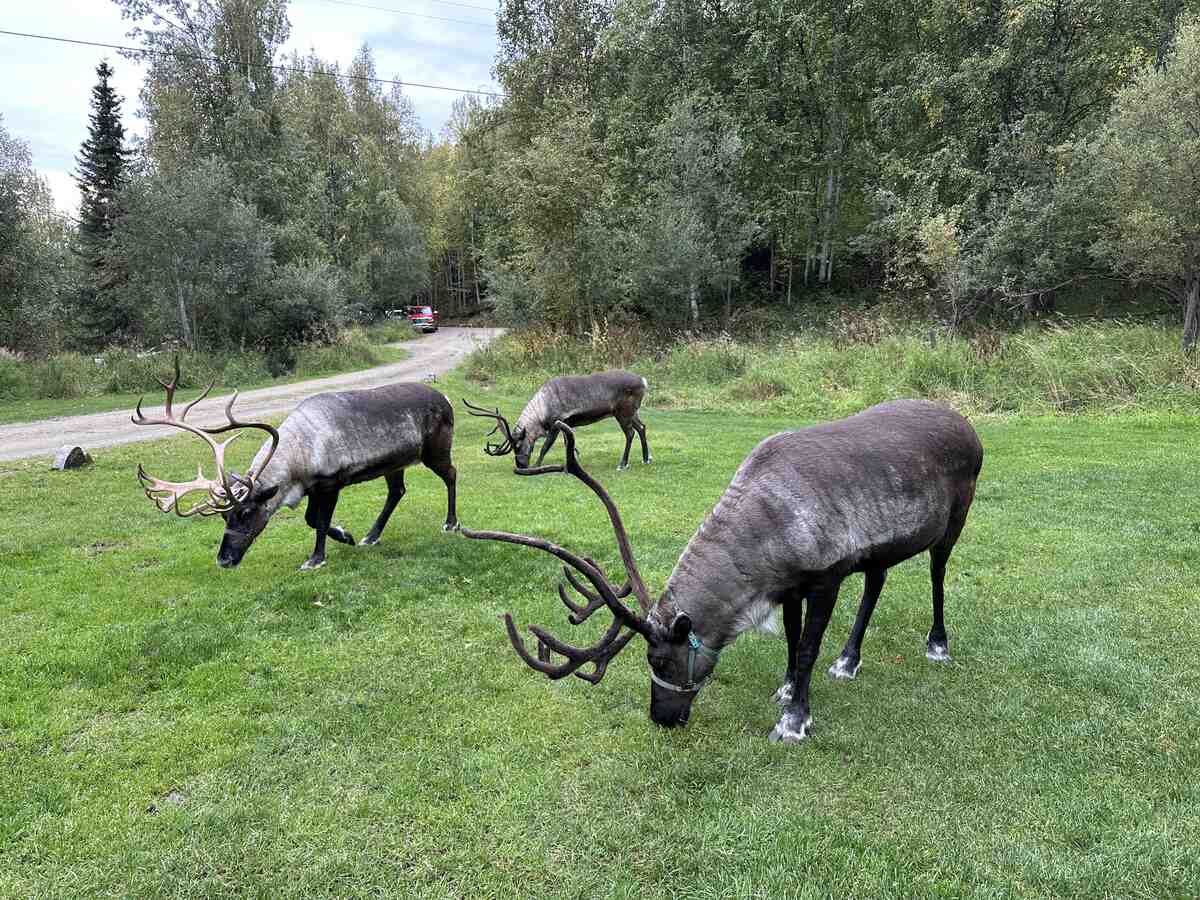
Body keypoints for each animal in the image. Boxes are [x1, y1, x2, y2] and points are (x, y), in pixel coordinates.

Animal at [131, 359, 458, 570]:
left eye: (246, 513)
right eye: (224, 516)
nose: (224, 560)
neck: (299, 459)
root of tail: (446, 398)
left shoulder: (331, 483)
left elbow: (319, 521)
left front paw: (316, 558)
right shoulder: (312, 488)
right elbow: (311, 519)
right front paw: (347, 536)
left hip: (435, 451)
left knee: (451, 475)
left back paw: (451, 522)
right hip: (395, 463)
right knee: (397, 491)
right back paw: (371, 536)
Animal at [461, 399, 983, 743]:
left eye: (658, 661)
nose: (660, 719)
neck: (767, 528)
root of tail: (966, 423)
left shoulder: (825, 577)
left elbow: (807, 648)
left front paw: (794, 720)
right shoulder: (789, 586)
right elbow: (792, 639)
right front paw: (786, 688)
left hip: (956, 517)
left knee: (937, 573)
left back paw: (937, 644)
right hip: (881, 550)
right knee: (877, 579)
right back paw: (848, 660)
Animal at [463, 370, 650, 471]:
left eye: (519, 445)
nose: (521, 465)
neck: (541, 409)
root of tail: (643, 380)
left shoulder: (556, 421)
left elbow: (545, 446)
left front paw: (536, 465)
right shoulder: (566, 424)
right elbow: (568, 443)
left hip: (623, 412)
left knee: (630, 433)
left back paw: (623, 464)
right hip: (632, 412)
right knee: (642, 427)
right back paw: (646, 458)